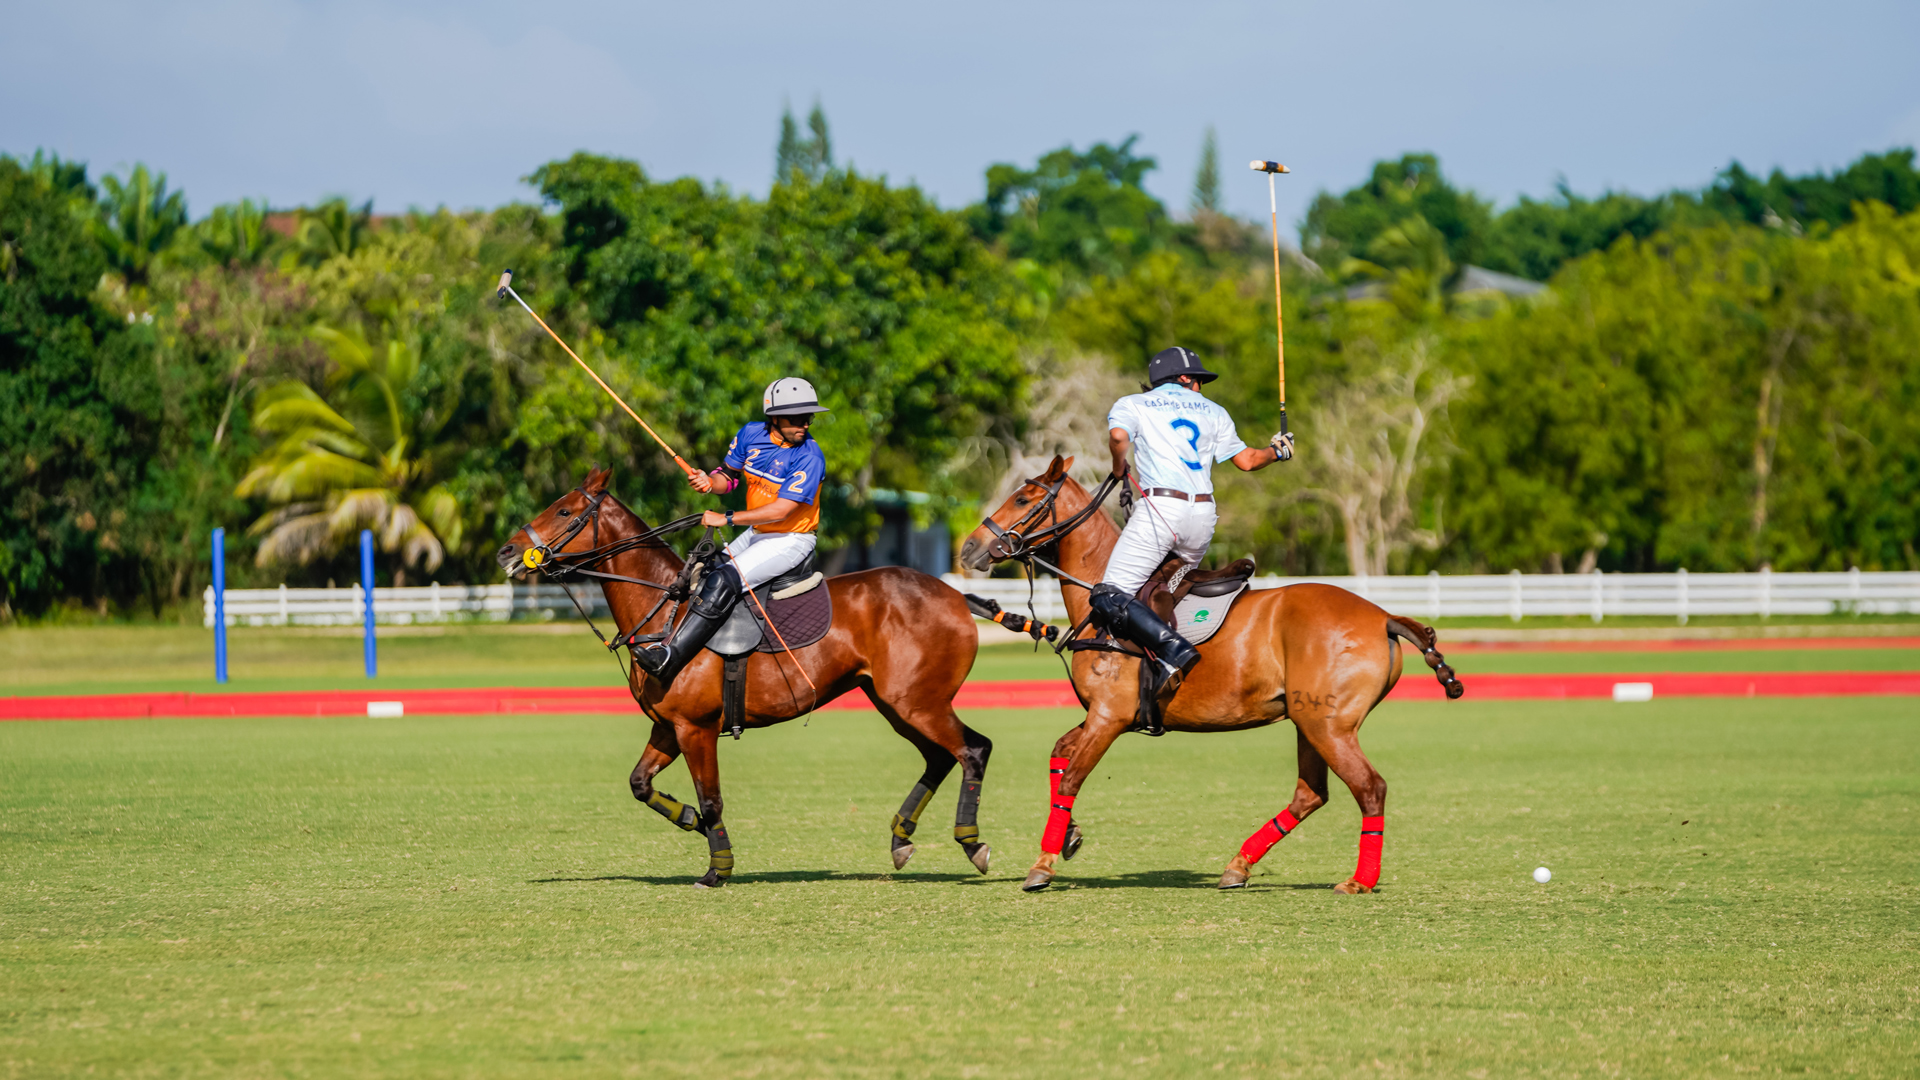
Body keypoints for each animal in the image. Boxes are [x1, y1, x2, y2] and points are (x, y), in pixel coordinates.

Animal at [503, 466, 998, 887]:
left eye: (563, 510)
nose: (507, 551)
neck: (666, 613)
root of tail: (957, 596)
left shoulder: (696, 727)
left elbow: (711, 797)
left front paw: (717, 868)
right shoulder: (668, 726)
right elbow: (640, 783)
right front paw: (688, 819)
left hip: (918, 701)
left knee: (973, 749)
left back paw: (971, 843)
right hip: (894, 702)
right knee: (939, 758)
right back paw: (901, 838)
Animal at [952, 453, 1459, 891]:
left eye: (1023, 498)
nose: (970, 548)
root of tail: (1383, 617)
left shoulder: (1109, 716)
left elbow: (1073, 777)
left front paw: (1042, 865)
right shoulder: (1108, 714)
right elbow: (1060, 756)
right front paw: (1069, 836)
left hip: (1328, 725)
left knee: (1370, 788)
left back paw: (1359, 881)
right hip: (1309, 722)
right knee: (1311, 793)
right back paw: (1238, 866)